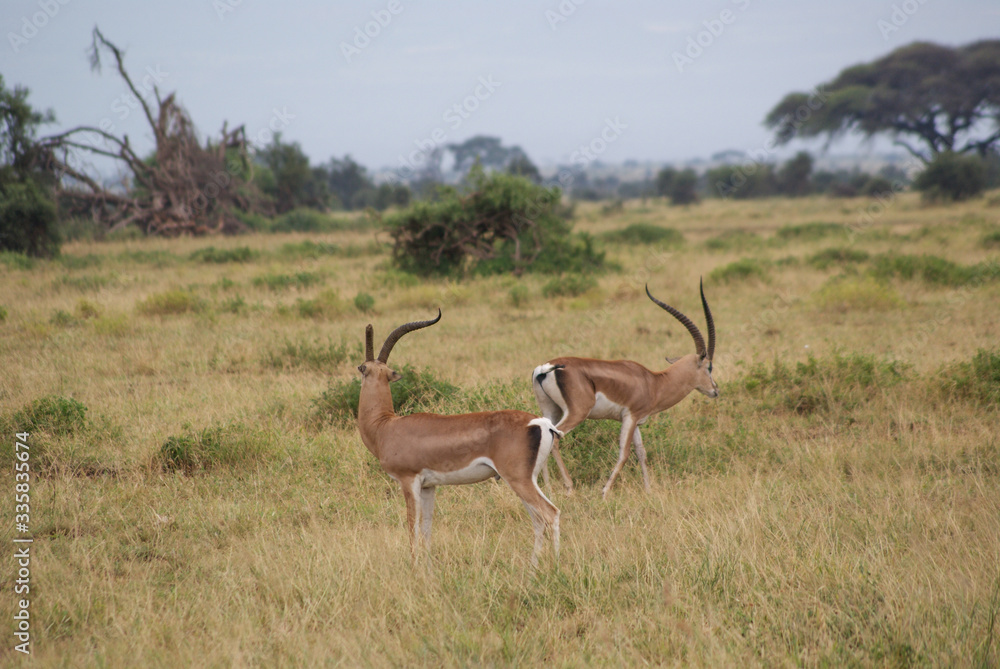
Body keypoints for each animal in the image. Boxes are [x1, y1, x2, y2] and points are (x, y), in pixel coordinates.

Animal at [356, 310, 563, 567]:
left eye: (362, 367)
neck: (385, 426)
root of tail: (542, 423)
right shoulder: (429, 486)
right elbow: (427, 527)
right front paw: (428, 567)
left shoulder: (408, 481)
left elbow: (412, 527)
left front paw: (414, 567)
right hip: (527, 479)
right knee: (539, 519)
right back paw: (532, 567)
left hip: (518, 479)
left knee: (550, 513)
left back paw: (555, 565)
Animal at [532, 280, 719, 499]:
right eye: (709, 367)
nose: (715, 390)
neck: (654, 382)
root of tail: (548, 367)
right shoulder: (630, 416)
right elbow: (624, 453)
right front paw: (604, 492)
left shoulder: (636, 421)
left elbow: (641, 452)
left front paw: (648, 490)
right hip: (576, 412)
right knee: (555, 438)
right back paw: (569, 488)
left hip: (550, 409)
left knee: (545, 434)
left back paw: (547, 489)